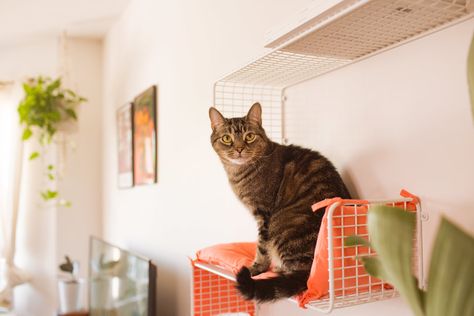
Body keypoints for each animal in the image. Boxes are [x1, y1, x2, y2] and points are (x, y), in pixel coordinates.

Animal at [209, 103, 350, 302]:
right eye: (227, 138)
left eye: (249, 136)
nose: (239, 149)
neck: (239, 172)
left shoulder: (264, 214)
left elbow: (262, 247)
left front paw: (256, 268)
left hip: (282, 224)